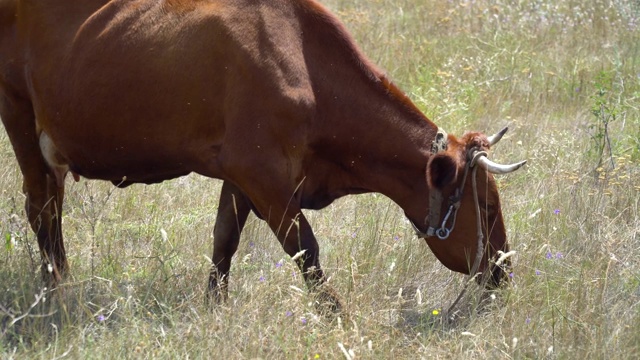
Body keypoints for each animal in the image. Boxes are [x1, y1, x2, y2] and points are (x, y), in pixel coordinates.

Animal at [0, 0, 524, 310]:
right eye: (487, 205)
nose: (503, 271)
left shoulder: (239, 172)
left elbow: (224, 239)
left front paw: (214, 307)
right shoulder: (263, 173)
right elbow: (306, 250)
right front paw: (336, 317)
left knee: (51, 204)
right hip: (18, 112)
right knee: (40, 206)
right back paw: (57, 293)